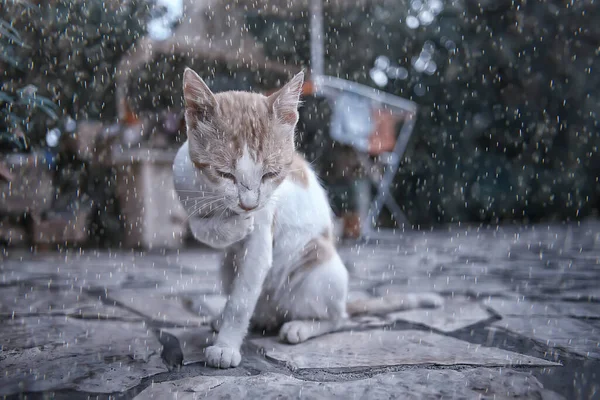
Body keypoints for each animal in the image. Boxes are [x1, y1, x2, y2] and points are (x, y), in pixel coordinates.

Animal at [171, 68, 442, 368]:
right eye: (224, 174)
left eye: (271, 174)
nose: (249, 205)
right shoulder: (184, 184)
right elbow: (198, 225)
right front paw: (229, 226)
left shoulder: (263, 230)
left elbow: (241, 302)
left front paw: (226, 347)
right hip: (228, 267)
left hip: (317, 263)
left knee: (337, 319)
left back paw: (300, 326)